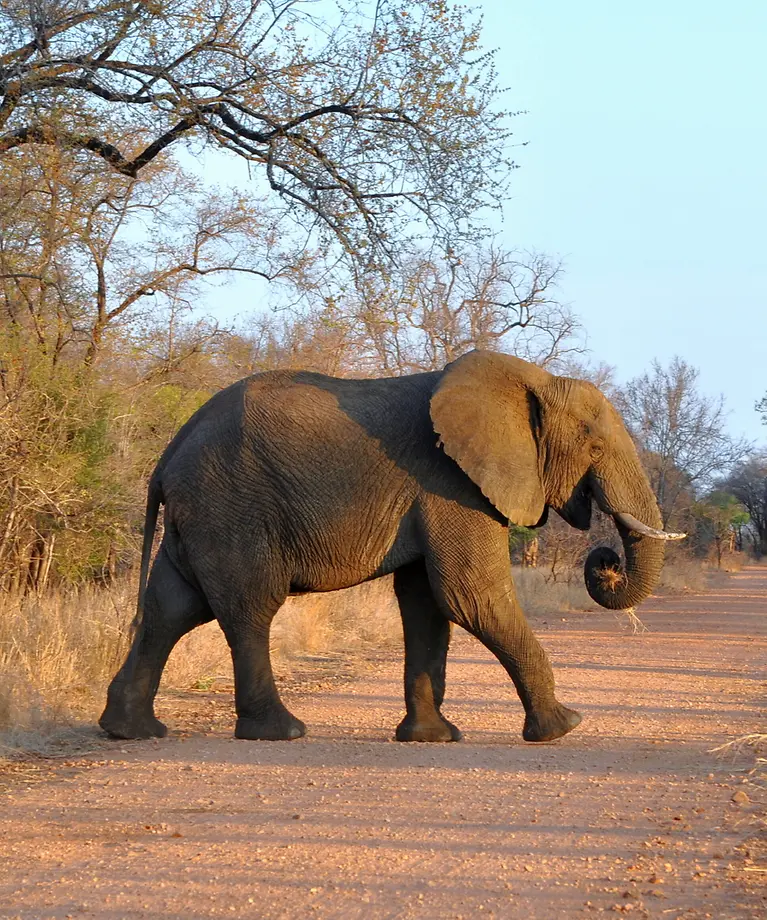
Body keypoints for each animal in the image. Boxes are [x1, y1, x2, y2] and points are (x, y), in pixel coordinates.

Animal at [100, 348, 684, 744]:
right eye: (594, 445)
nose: (606, 561)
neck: (529, 381)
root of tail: (167, 455)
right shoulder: (453, 485)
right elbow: (471, 596)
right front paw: (564, 726)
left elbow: (427, 604)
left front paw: (433, 738)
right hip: (231, 508)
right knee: (248, 607)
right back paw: (281, 732)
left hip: (199, 517)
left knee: (171, 608)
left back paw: (131, 730)